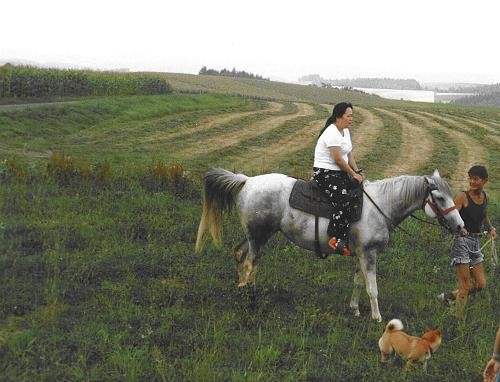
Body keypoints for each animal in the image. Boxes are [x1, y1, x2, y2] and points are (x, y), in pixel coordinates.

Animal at [195, 169, 464, 320]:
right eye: (440, 198)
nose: (461, 226)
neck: (381, 205)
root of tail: (247, 181)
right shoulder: (369, 255)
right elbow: (372, 288)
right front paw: (377, 318)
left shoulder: (362, 253)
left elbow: (359, 282)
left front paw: (355, 309)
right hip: (258, 237)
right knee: (250, 264)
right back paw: (251, 300)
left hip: (256, 235)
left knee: (239, 254)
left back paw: (241, 287)